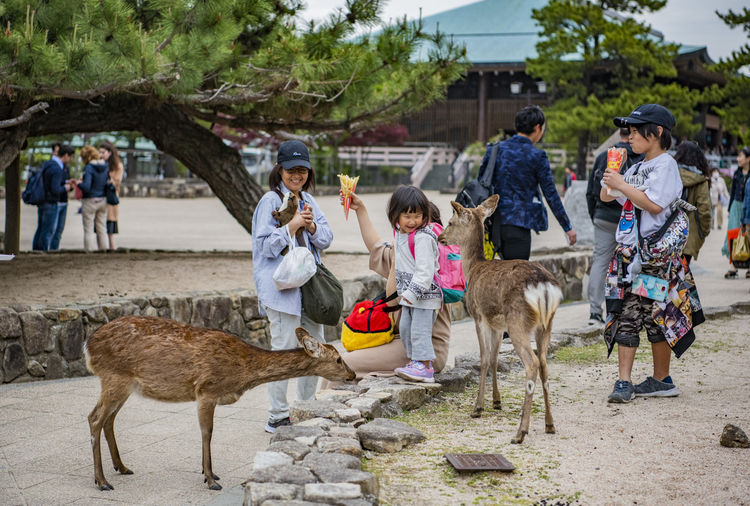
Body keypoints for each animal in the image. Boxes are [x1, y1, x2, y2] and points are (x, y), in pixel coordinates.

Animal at [85, 316, 356, 490]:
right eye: (338, 359)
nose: (353, 374)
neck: (243, 372)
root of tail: (88, 346)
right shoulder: (206, 389)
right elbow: (207, 432)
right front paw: (211, 480)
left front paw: (210, 473)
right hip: (114, 376)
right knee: (94, 418)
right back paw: (101, 481)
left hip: (125, 384)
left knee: (108, 419)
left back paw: (121, 467)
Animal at [440, 196, 564, 444]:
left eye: (450, 222)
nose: (441, 236)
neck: (473, 268)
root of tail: (544, 286)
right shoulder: (498, 325)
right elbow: (495, 358)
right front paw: (496, 402)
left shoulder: (479, 316)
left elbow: (483, 359)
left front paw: (478, 407)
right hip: (546, 324)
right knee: (544, 364)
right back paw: (549, 424)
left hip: (518, 322)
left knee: (532, 363)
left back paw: (520, 432)